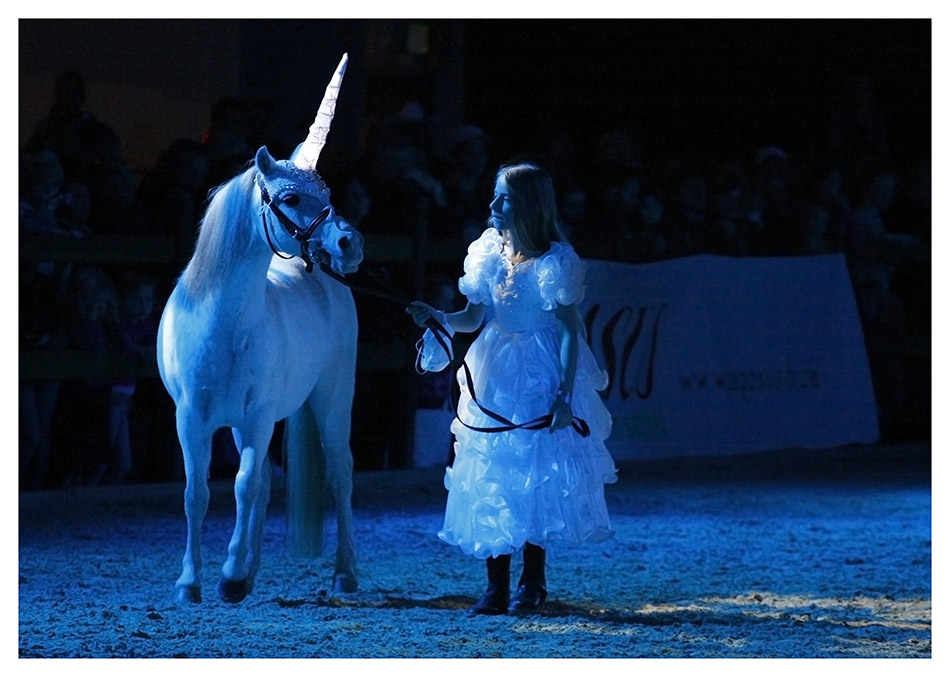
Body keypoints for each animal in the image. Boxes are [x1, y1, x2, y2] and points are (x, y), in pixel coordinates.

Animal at [156, 52, 364, 604]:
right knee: (267, 486)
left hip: (332, 401)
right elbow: (197, 494)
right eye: (289, 199)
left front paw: (228, 575)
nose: (349, 244)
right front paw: (192, 582)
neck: (223, 326)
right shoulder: (191, 419)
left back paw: (344, 573)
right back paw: (250, 573)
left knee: (339, 475)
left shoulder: (257, 417)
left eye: (326, 192)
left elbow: (244, 487)